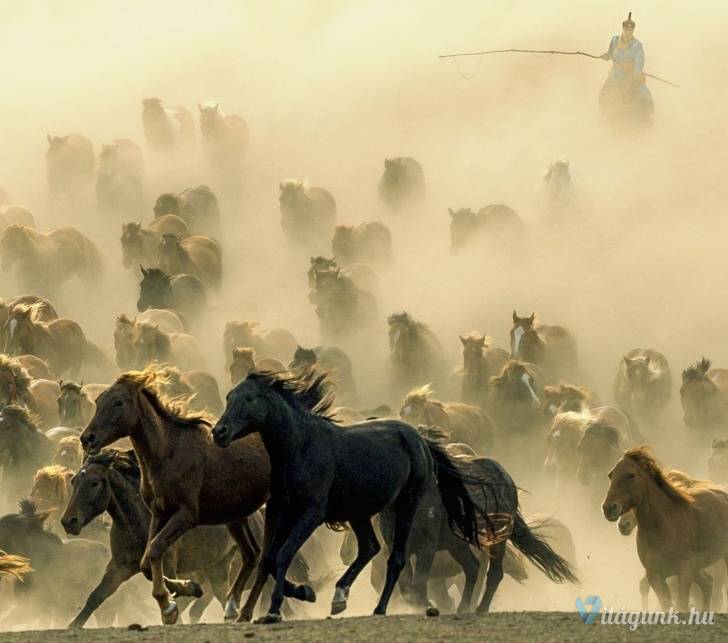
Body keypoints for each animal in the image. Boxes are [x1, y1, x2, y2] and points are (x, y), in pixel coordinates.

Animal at [60, 448, 236, 628]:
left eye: (94, 483)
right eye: (73, 481)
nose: (68, 521)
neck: (138, 523)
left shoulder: (167, 563)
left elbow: (158, 579)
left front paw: (187, 592)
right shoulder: (119, 566)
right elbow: (96, 596)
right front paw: (74, 624)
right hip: (217, 565)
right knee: (223, 594)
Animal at [79, 370, 272, 628]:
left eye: (118, 402)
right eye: (99, 401)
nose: (87, 439)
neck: (169, 453)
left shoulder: (186, 515)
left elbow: (154, 549)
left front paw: (169, 606)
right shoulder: (159, 514)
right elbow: (147, 559)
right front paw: (184, 590)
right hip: (236, 519)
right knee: (251, 554)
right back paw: (235, 610)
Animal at [212, 368, 490, 624]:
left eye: (250, 398)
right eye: (229, 397)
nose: (219, 432)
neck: (301, 447)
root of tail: (419, 438)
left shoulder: (311, 514)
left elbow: (283, 555)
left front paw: (274, 609)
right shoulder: (280, 509)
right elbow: (269, 557)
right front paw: (304, 592)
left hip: (406, 504)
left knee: (396, 558)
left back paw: (380, 608)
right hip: (362, 512)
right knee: (370, 547)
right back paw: (339, 597)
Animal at [600, 446, 728, 612]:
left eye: (631, 474)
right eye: (611, 475)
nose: (609, 508)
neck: (664, 527)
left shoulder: (684, 572)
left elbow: (682, 606)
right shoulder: (655, 576)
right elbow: (666, 605)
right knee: (707, 584)